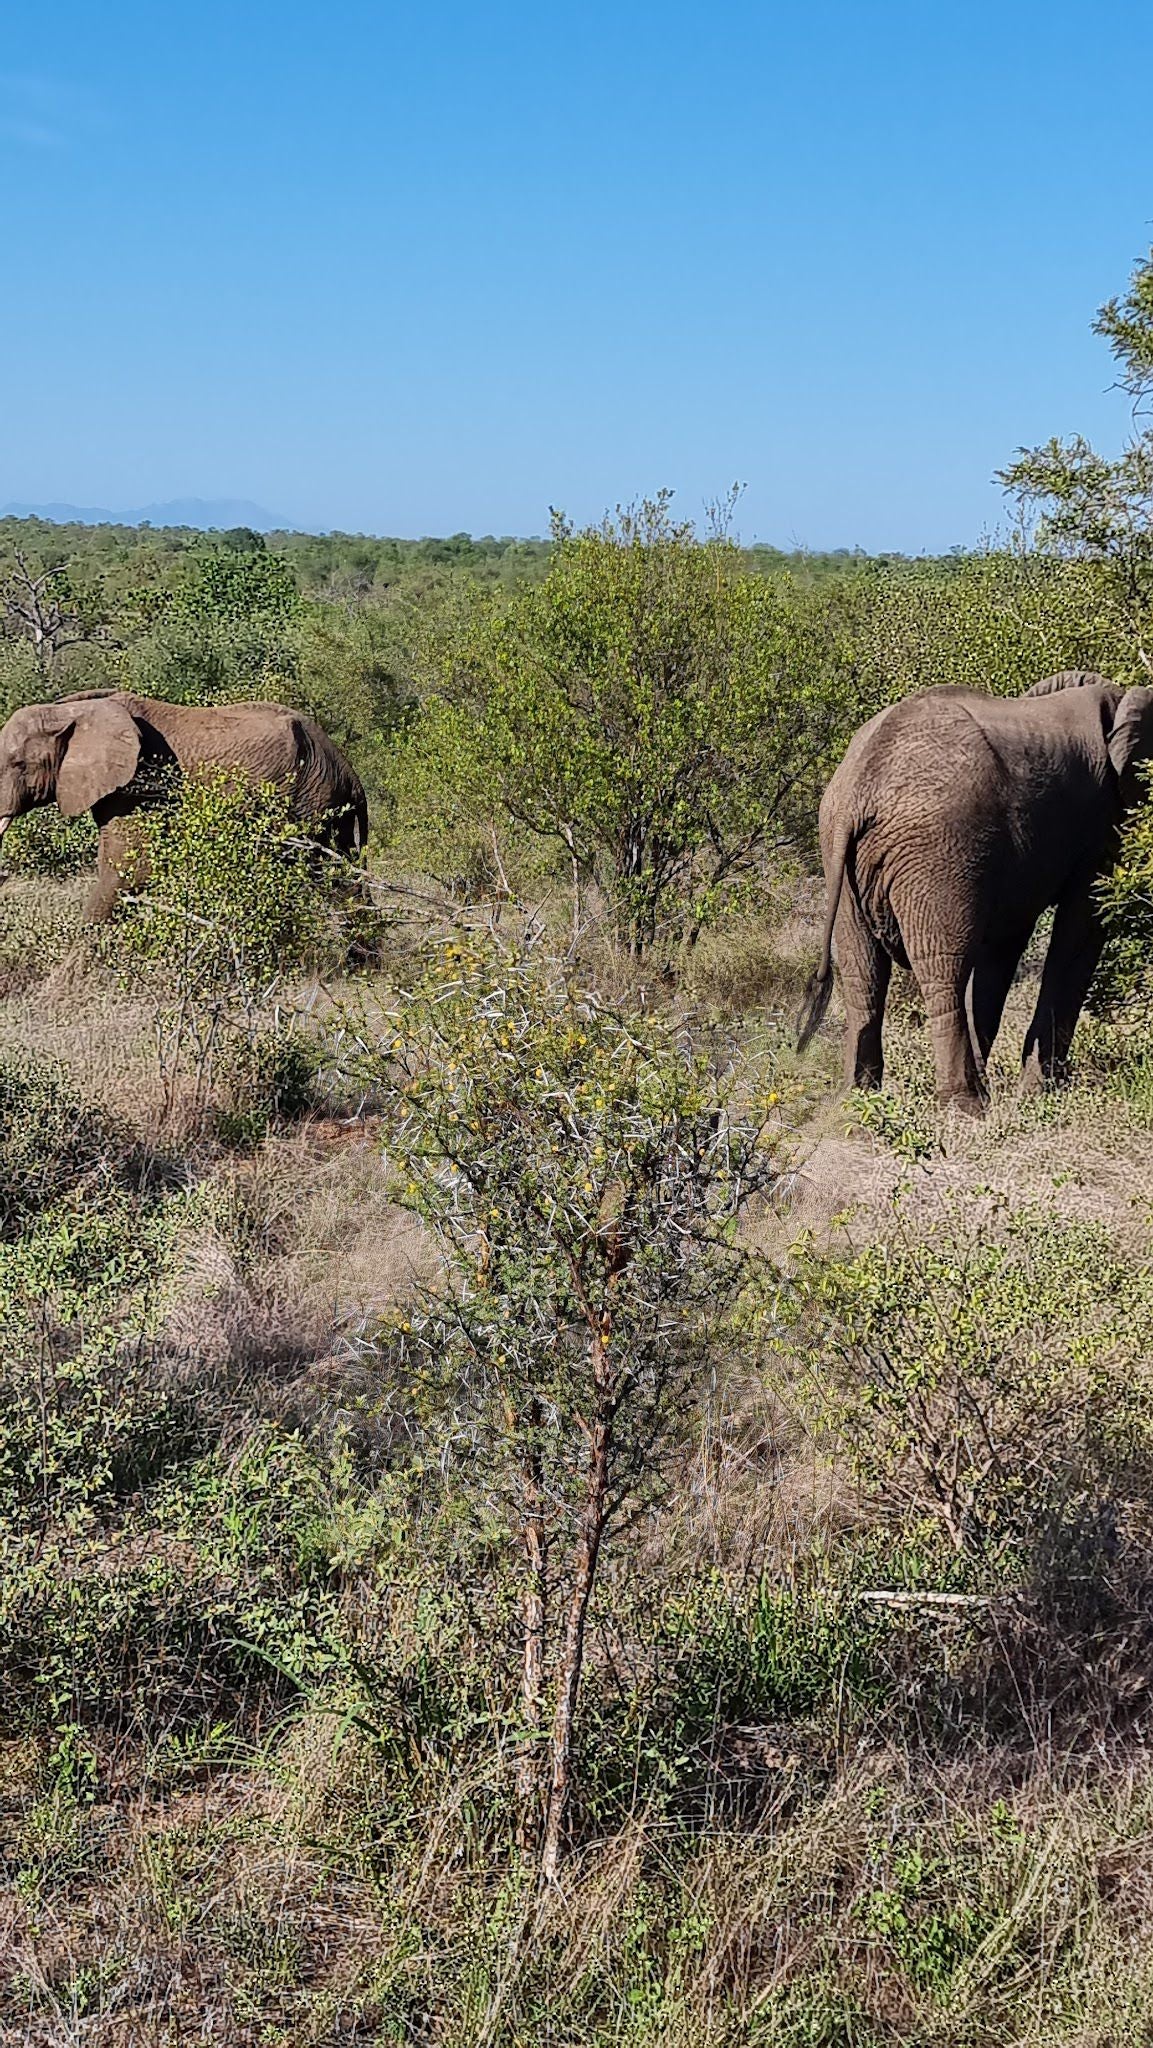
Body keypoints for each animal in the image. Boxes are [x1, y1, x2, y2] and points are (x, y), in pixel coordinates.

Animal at [798, 671, 1153, 1114]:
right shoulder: (1101, 820)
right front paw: (1040, 1092)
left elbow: (1001, 951)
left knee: (862, 971)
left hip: (841, 856)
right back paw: (967, 1106)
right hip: (937, 850)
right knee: (943, 968)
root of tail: (858, 787)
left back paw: (858, 1098)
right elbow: (1082, 930)